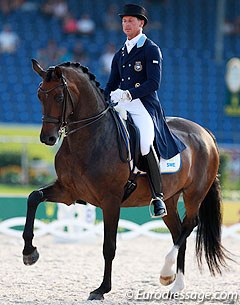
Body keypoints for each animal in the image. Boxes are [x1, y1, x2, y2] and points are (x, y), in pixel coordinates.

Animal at [22, 59, 229, 300]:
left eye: (59, 97)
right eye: (39, 95)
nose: (48, 138)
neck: (91, 137)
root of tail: (205, 133)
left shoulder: (110, 201)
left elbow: (109, 246)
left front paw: (102, 289)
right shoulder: (68, 192)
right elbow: (34, 197)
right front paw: (29, 252)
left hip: (194, 194)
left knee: (190, 225)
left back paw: (166, 273)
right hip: (169, 199)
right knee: (178, 232)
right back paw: (176, 284)